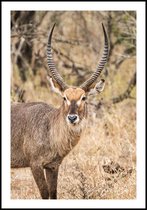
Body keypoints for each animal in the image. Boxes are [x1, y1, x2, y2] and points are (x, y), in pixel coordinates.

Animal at [10, 23, 108, 199]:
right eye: (64, 97)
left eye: (84, 97)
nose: (72, 118)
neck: (50, 128)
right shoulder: (35, 165)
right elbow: (44, 194)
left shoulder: (53, 166)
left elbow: (53, 194)